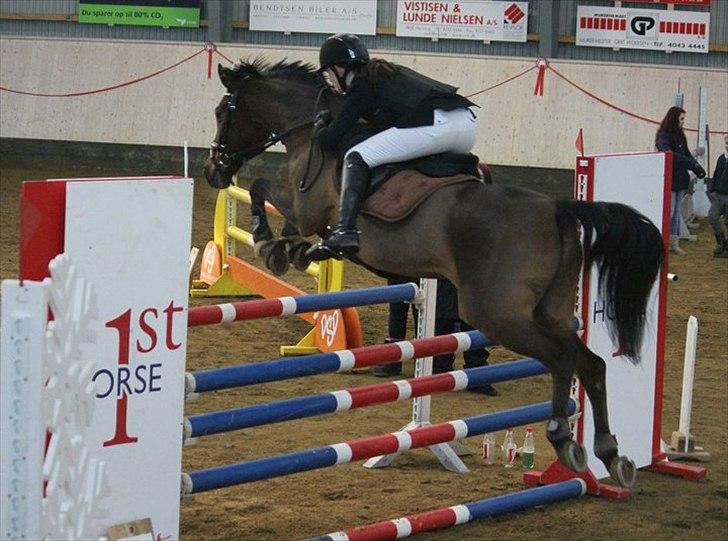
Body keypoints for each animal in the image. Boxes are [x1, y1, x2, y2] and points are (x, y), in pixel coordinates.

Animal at [203, 59, 665, 488]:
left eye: (223, 111)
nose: (212, 170)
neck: (310, 131)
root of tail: (558, 210)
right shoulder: (308, 217)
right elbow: (288, 223)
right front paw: (294, 250)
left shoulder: (306, 207)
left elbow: (261, 189)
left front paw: (271, 243)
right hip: (549, 309)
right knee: (593, 364)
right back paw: (609, 453)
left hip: (498, 314)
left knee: (564, 358)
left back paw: (562, 437)